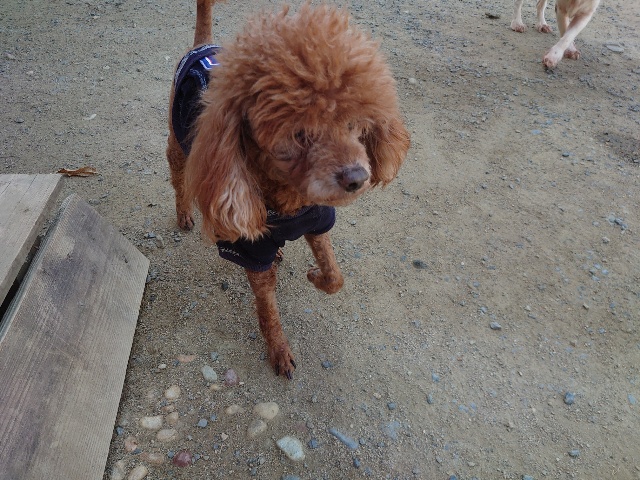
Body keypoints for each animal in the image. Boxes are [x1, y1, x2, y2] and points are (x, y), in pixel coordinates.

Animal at [166, 0, 410, 379]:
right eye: (298, 134)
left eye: (354, 123)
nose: (356, 177)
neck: (290, 200)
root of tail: (202, 46)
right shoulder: (252, 253)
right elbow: (267, 309)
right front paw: (279, 351)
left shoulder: (318, 221)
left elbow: (335, 276)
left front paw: (315, 275)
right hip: (178, 145)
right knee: (178, 179)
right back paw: (183, 215)